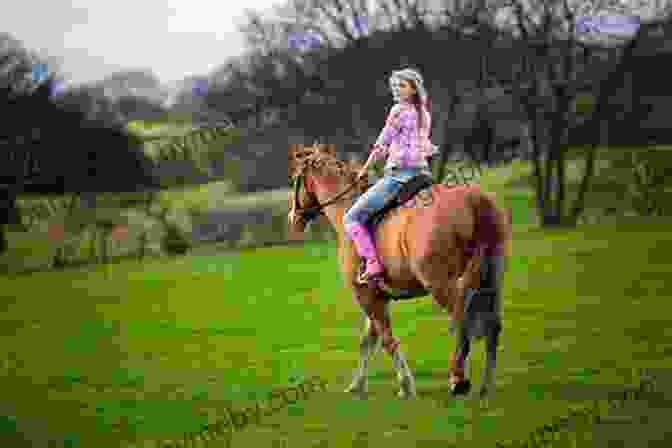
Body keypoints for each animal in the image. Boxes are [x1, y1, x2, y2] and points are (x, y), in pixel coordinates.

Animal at [286, 142, 512, 400]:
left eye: (295, 179)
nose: (293, 218)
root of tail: (474, 200)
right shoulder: (375, 295)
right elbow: (368, 340)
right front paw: (357, 385)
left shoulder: (365, 296)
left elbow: (387, 340)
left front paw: (405, 384)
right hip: (492, 278)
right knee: (493, 325)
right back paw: (486, 386)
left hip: (441, 284)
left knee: (461, 321)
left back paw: (458, 379)